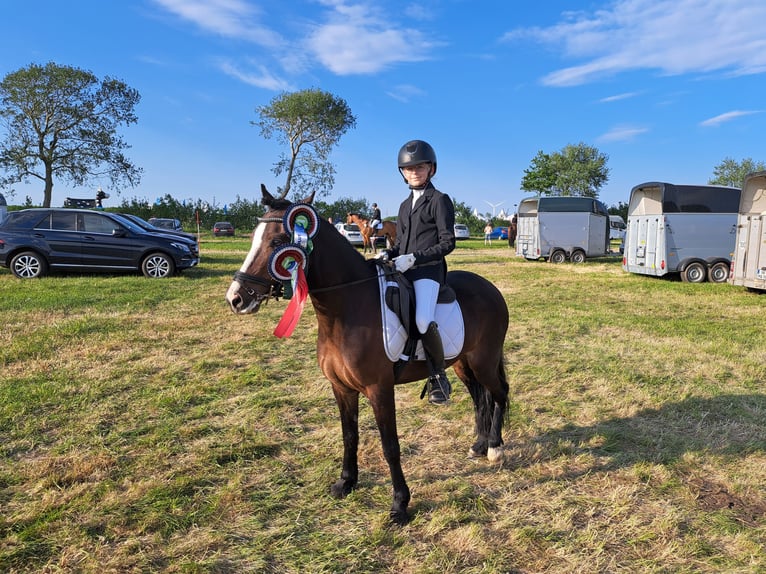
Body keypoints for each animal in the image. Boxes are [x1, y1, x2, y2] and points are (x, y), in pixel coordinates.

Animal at [230, 188, 516, 528]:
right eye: (252, 238)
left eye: (276, 242)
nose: (236, 298)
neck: (345, 308)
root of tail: (491, 289)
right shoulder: (341, 388)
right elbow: (349, 435)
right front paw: (346, 483)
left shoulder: (380, 389)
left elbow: (390, 445)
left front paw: (399, 505)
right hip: (462, 363)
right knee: (480, 398)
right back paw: (480, 445)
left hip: (484, 360)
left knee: (498, 394)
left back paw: (495, 448)